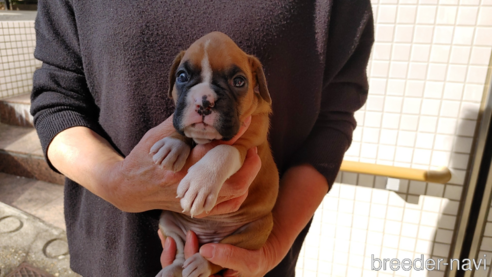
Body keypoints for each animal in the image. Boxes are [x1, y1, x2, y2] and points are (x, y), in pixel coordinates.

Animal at [152, 32, 278, 276]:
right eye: (182, 76)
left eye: (239, 81)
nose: (204, 100)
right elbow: (182, 130)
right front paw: (172, 144)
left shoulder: (249, 144)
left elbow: (224, 149)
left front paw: (201, 183)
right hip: (168, 220)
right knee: (181, 250)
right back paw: (174, 269)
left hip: (258, 229)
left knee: (216, 254)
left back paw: (201, 264)